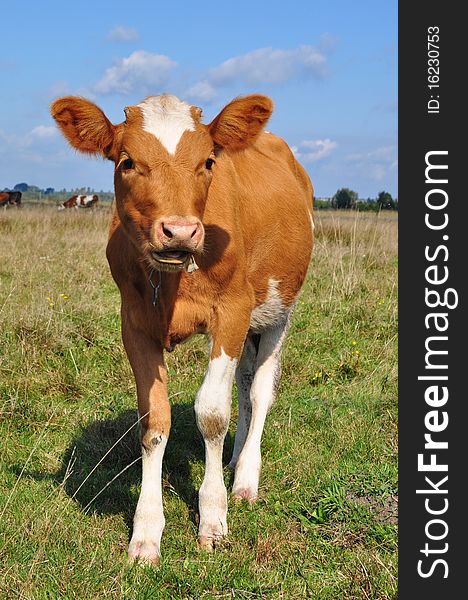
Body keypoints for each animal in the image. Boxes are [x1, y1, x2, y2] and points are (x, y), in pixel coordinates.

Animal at [51, 92, 314, 564]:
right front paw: (146, 532)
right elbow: (155, 422)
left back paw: (245, 478)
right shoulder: (134, 324)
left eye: (208, 162)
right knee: (243, 384)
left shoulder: (233, 311)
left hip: (279, 309)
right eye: (126, 162)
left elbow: (212, 412)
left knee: (260, 390)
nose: (179, 232)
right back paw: (233, 461)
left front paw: (213, 516)